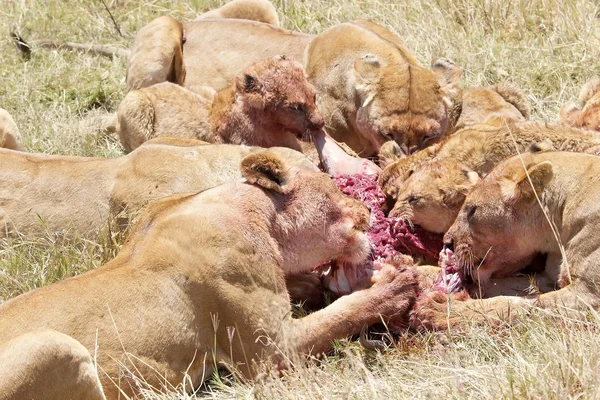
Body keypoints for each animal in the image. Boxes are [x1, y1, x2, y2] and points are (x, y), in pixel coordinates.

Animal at [0, 151, 418, 400]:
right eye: (333, 184)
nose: (369, 208)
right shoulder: (271, 355)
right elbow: (339, 316)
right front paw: (395, 285)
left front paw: (313, 284)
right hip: (54, 346)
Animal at [410, 152, 600, 330]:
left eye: (472, 210)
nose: (447, 242)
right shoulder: (548, 277)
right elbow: (506, 288)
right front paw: (415, 273)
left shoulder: (589, 293)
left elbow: (516, 304)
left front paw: (441, 310)